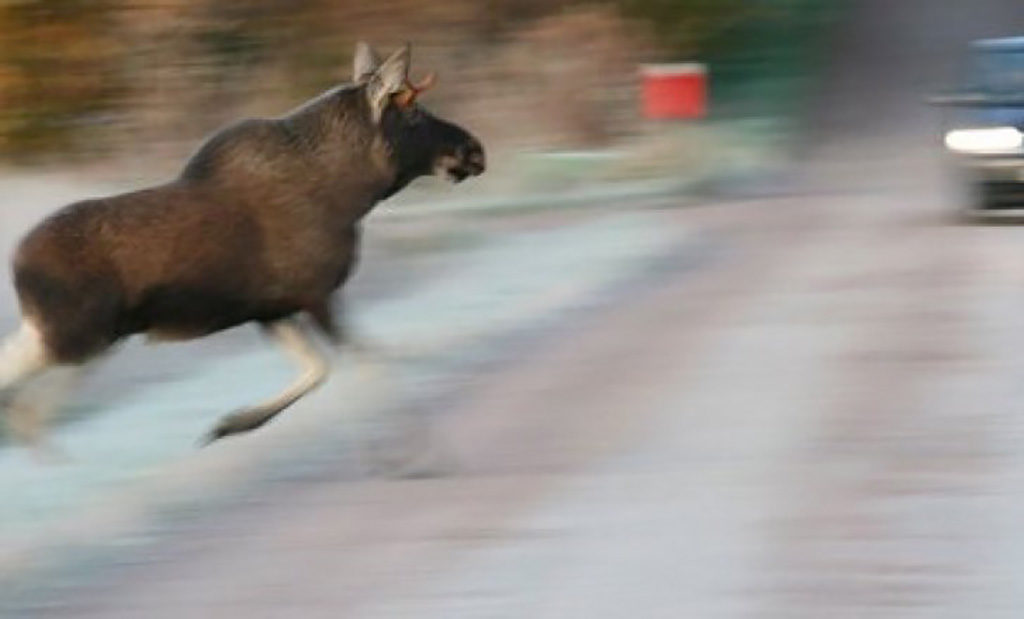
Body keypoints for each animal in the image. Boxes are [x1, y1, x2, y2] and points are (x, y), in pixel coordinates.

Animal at [0, 43, 483, 448]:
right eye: (414, 114)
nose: (474, 149)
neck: (354, 196)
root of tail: (18, 262)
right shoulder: (316, 295)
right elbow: (370, 366)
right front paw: (411, 452)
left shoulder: (272, 309)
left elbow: (319, 368)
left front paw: (232, 423)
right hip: (76, 336)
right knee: (19, 385)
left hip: (78, 337)